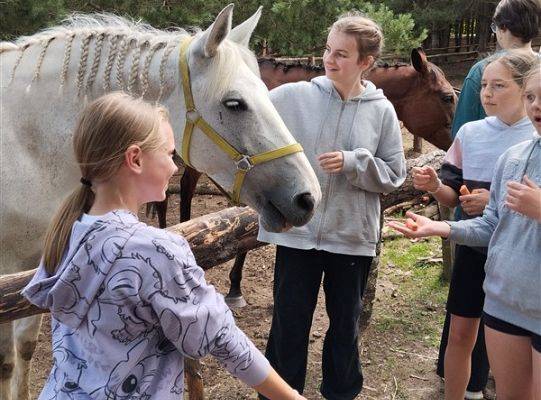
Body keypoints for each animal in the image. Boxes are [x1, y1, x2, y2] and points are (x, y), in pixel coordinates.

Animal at [0, 5, 320, 400]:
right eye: (234, 104)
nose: (307, 197)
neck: (25, 143)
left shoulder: (38, 261)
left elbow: (26, 347)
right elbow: (7, 361)